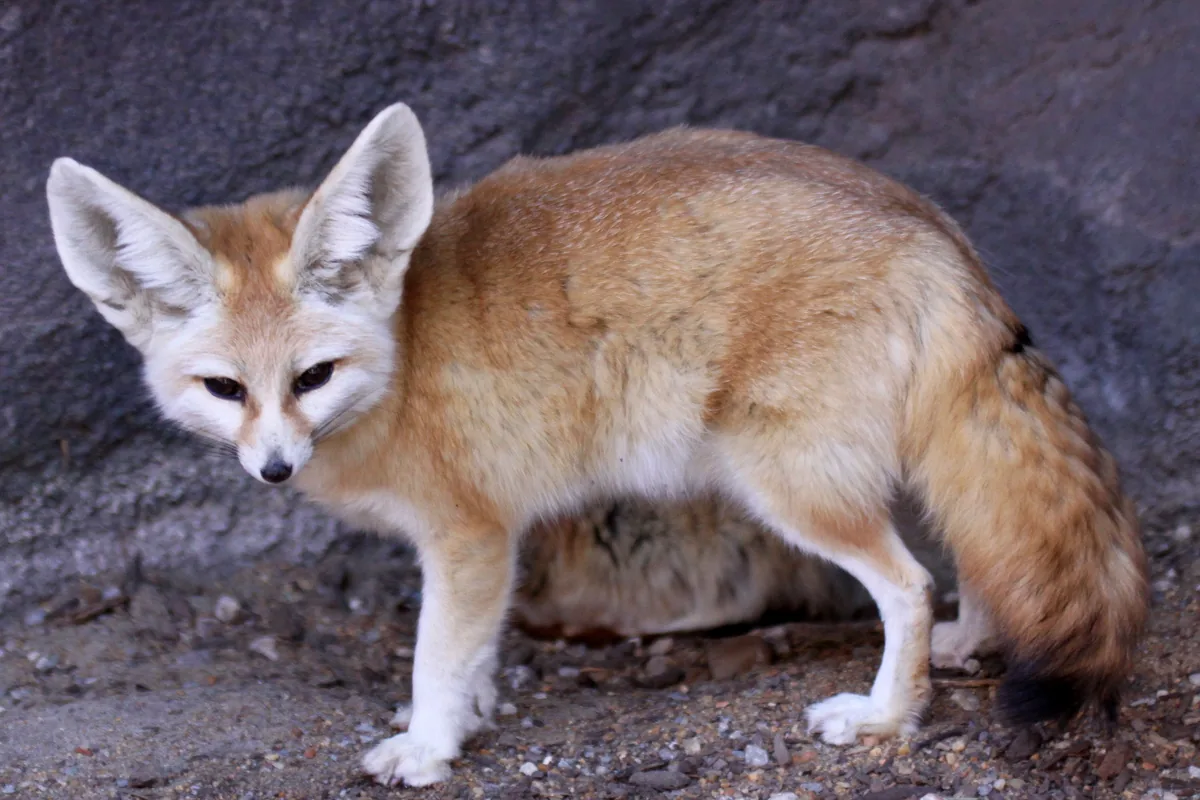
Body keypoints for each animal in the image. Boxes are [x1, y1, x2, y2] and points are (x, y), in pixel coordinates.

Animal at [46, 102, 1147, 788]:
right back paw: (972, 638)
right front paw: (471, 714)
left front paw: (430, 746)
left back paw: (885, 715)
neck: (403, 356)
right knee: (968, 546)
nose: (275, 468)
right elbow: (476, 653)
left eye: (311, 379)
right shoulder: (490, 543)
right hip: (881, 462)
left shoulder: (471, 535)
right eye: (226, 390)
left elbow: (435, 656)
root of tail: (927, 224)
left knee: (908, 582)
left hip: (789, 486)